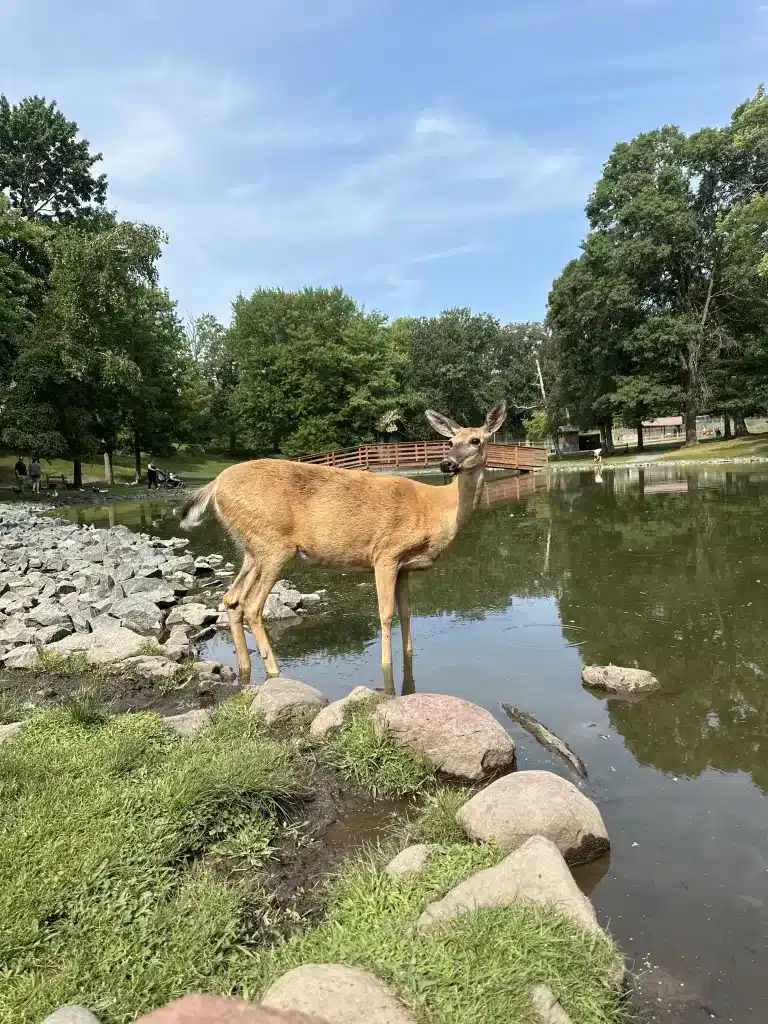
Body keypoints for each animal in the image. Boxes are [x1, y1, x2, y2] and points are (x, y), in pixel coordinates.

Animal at [177, 403, 507, 692]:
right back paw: (274, 670)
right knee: (252, 606)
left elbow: (406, 613)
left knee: (232, 598)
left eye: (476, 440)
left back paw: (245, 668)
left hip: (251, 549)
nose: (446, 463)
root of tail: (215, 485)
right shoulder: (385, 553)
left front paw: (409, 658)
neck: (437, 510)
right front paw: (386, 669)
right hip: (273, 545)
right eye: (450, 441)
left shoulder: (405, 567)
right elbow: (385, 613)